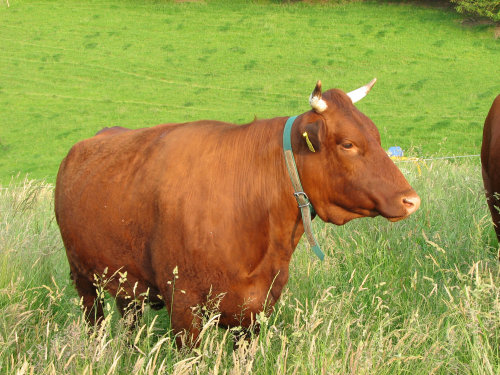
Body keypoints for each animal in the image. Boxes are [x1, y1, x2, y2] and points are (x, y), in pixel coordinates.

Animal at [54, 81, 420, 348]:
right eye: (347, 143)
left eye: (376, 135)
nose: (411, 200)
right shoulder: (183, 305)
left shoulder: (257, 308)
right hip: (83, 278)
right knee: (95, 324)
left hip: (126, 280)